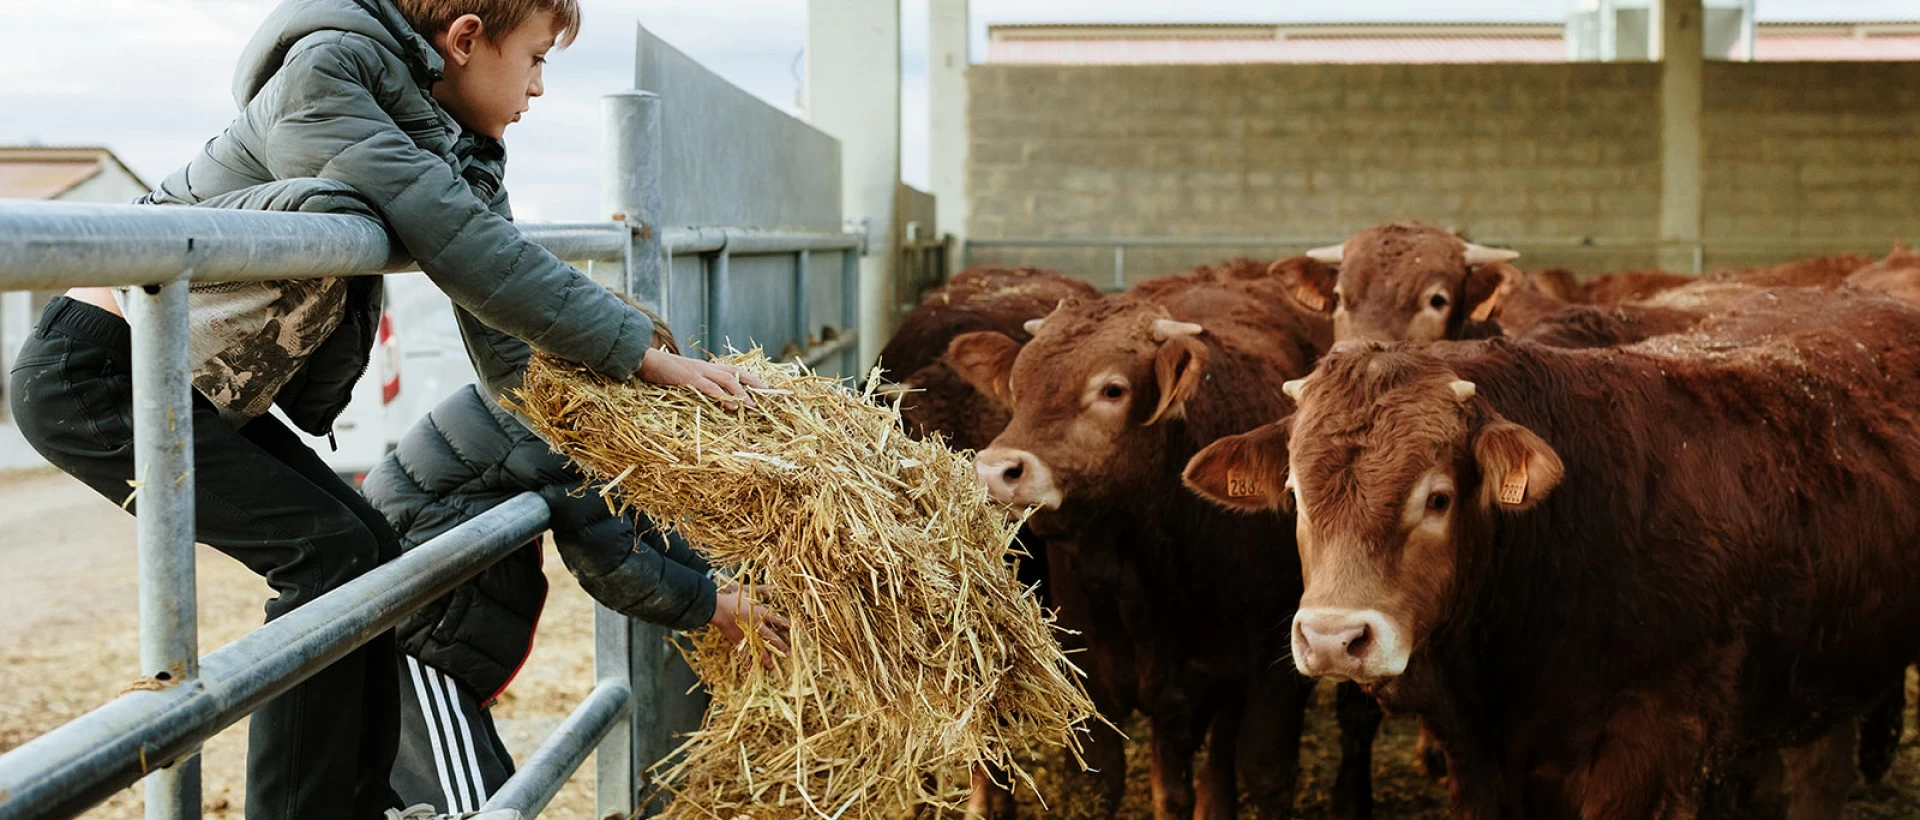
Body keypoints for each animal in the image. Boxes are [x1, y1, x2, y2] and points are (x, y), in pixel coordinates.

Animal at [940, 259, 1367, 818]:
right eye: (1016, 385)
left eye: (1112, 390)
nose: (996, 471)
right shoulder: (1091, 678)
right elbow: (1100, 783)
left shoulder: (1272, 672)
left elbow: (1264, 772)